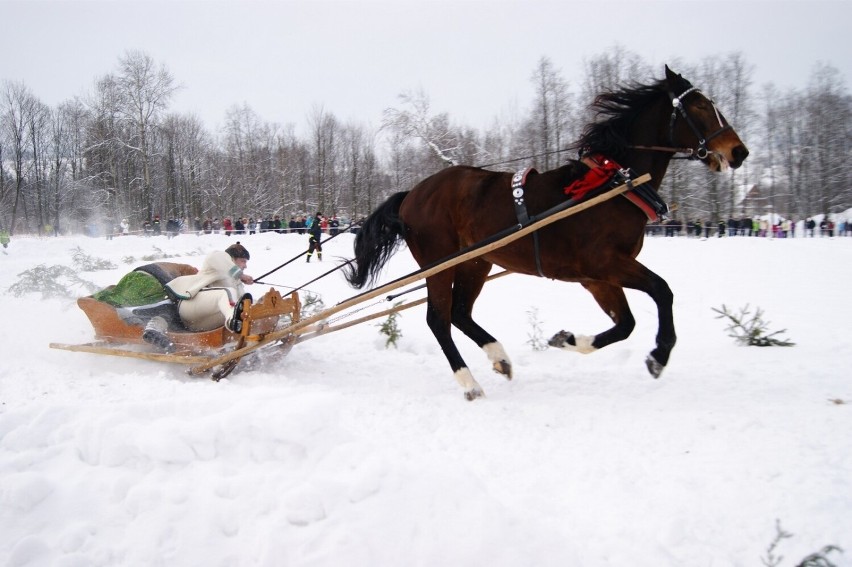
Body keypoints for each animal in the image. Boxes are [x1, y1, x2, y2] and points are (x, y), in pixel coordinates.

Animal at [344, 66, 744, 400]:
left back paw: (499, 357)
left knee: (459, 313)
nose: (739, 151)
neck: (612, 185)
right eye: (700, 104)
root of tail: (412, 193)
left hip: (476, 261)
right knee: (438, 320)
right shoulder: (605, 264)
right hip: (440, 264)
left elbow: (625, 323)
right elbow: (662, 291)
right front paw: (659, 354)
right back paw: (469, 382)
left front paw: (568, 340)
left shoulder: (597, 277)